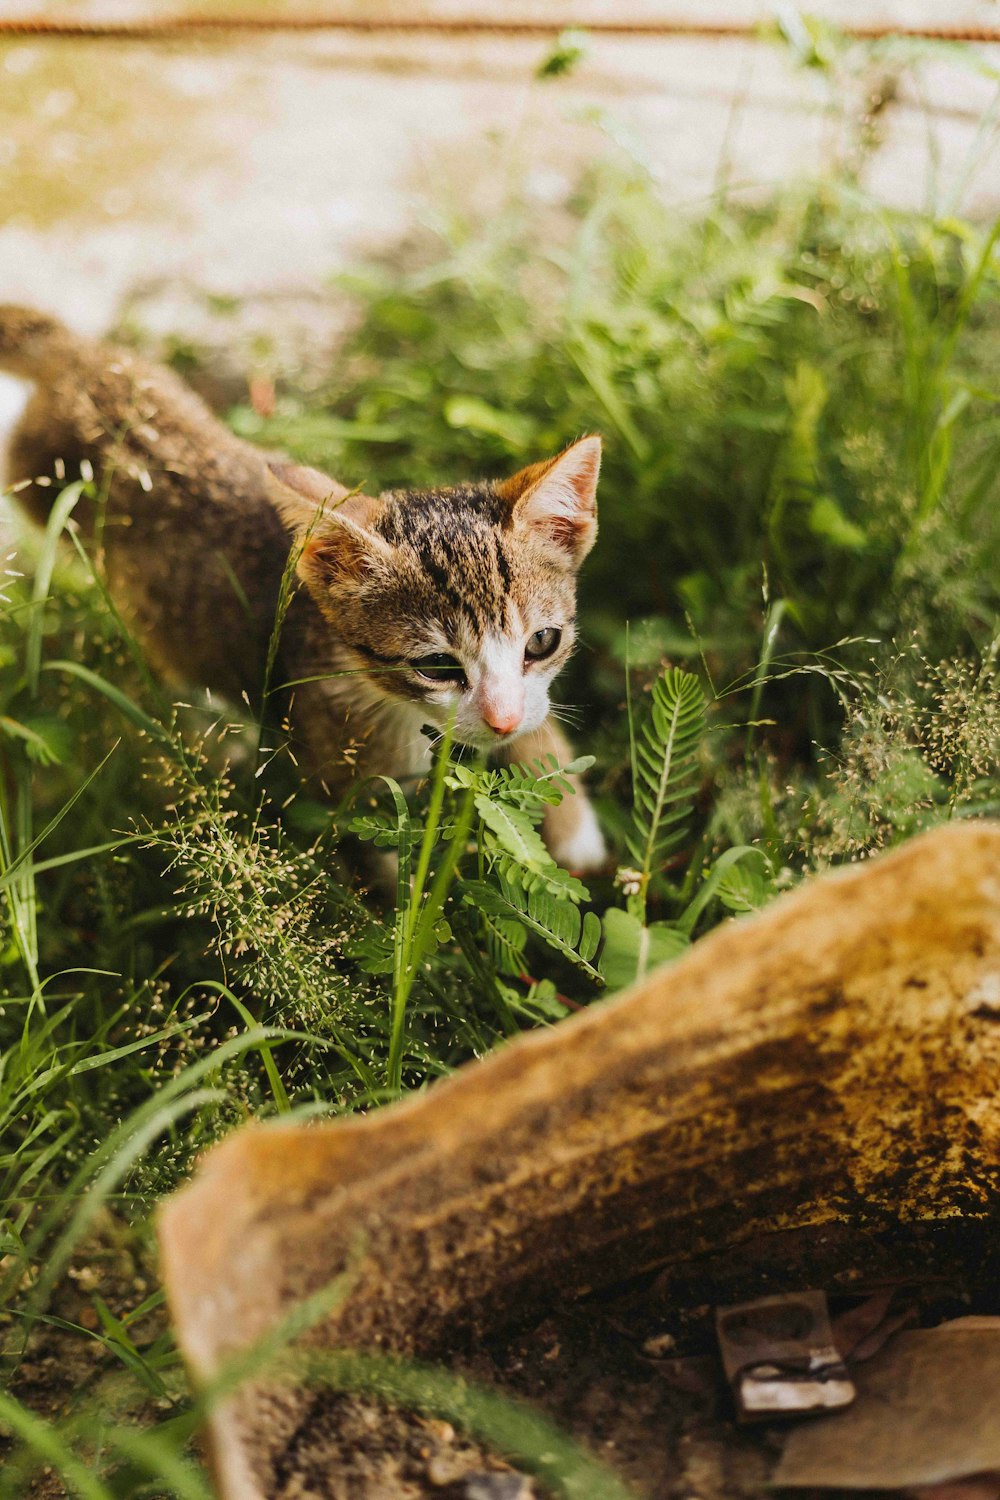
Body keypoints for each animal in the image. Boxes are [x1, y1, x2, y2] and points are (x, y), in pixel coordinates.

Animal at [0, 303, 605, 870]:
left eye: (542, 642)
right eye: (435, 665)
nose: (502, 720)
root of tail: (84, 358)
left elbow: (539, 714)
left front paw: (572, 821)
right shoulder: (344, 770)